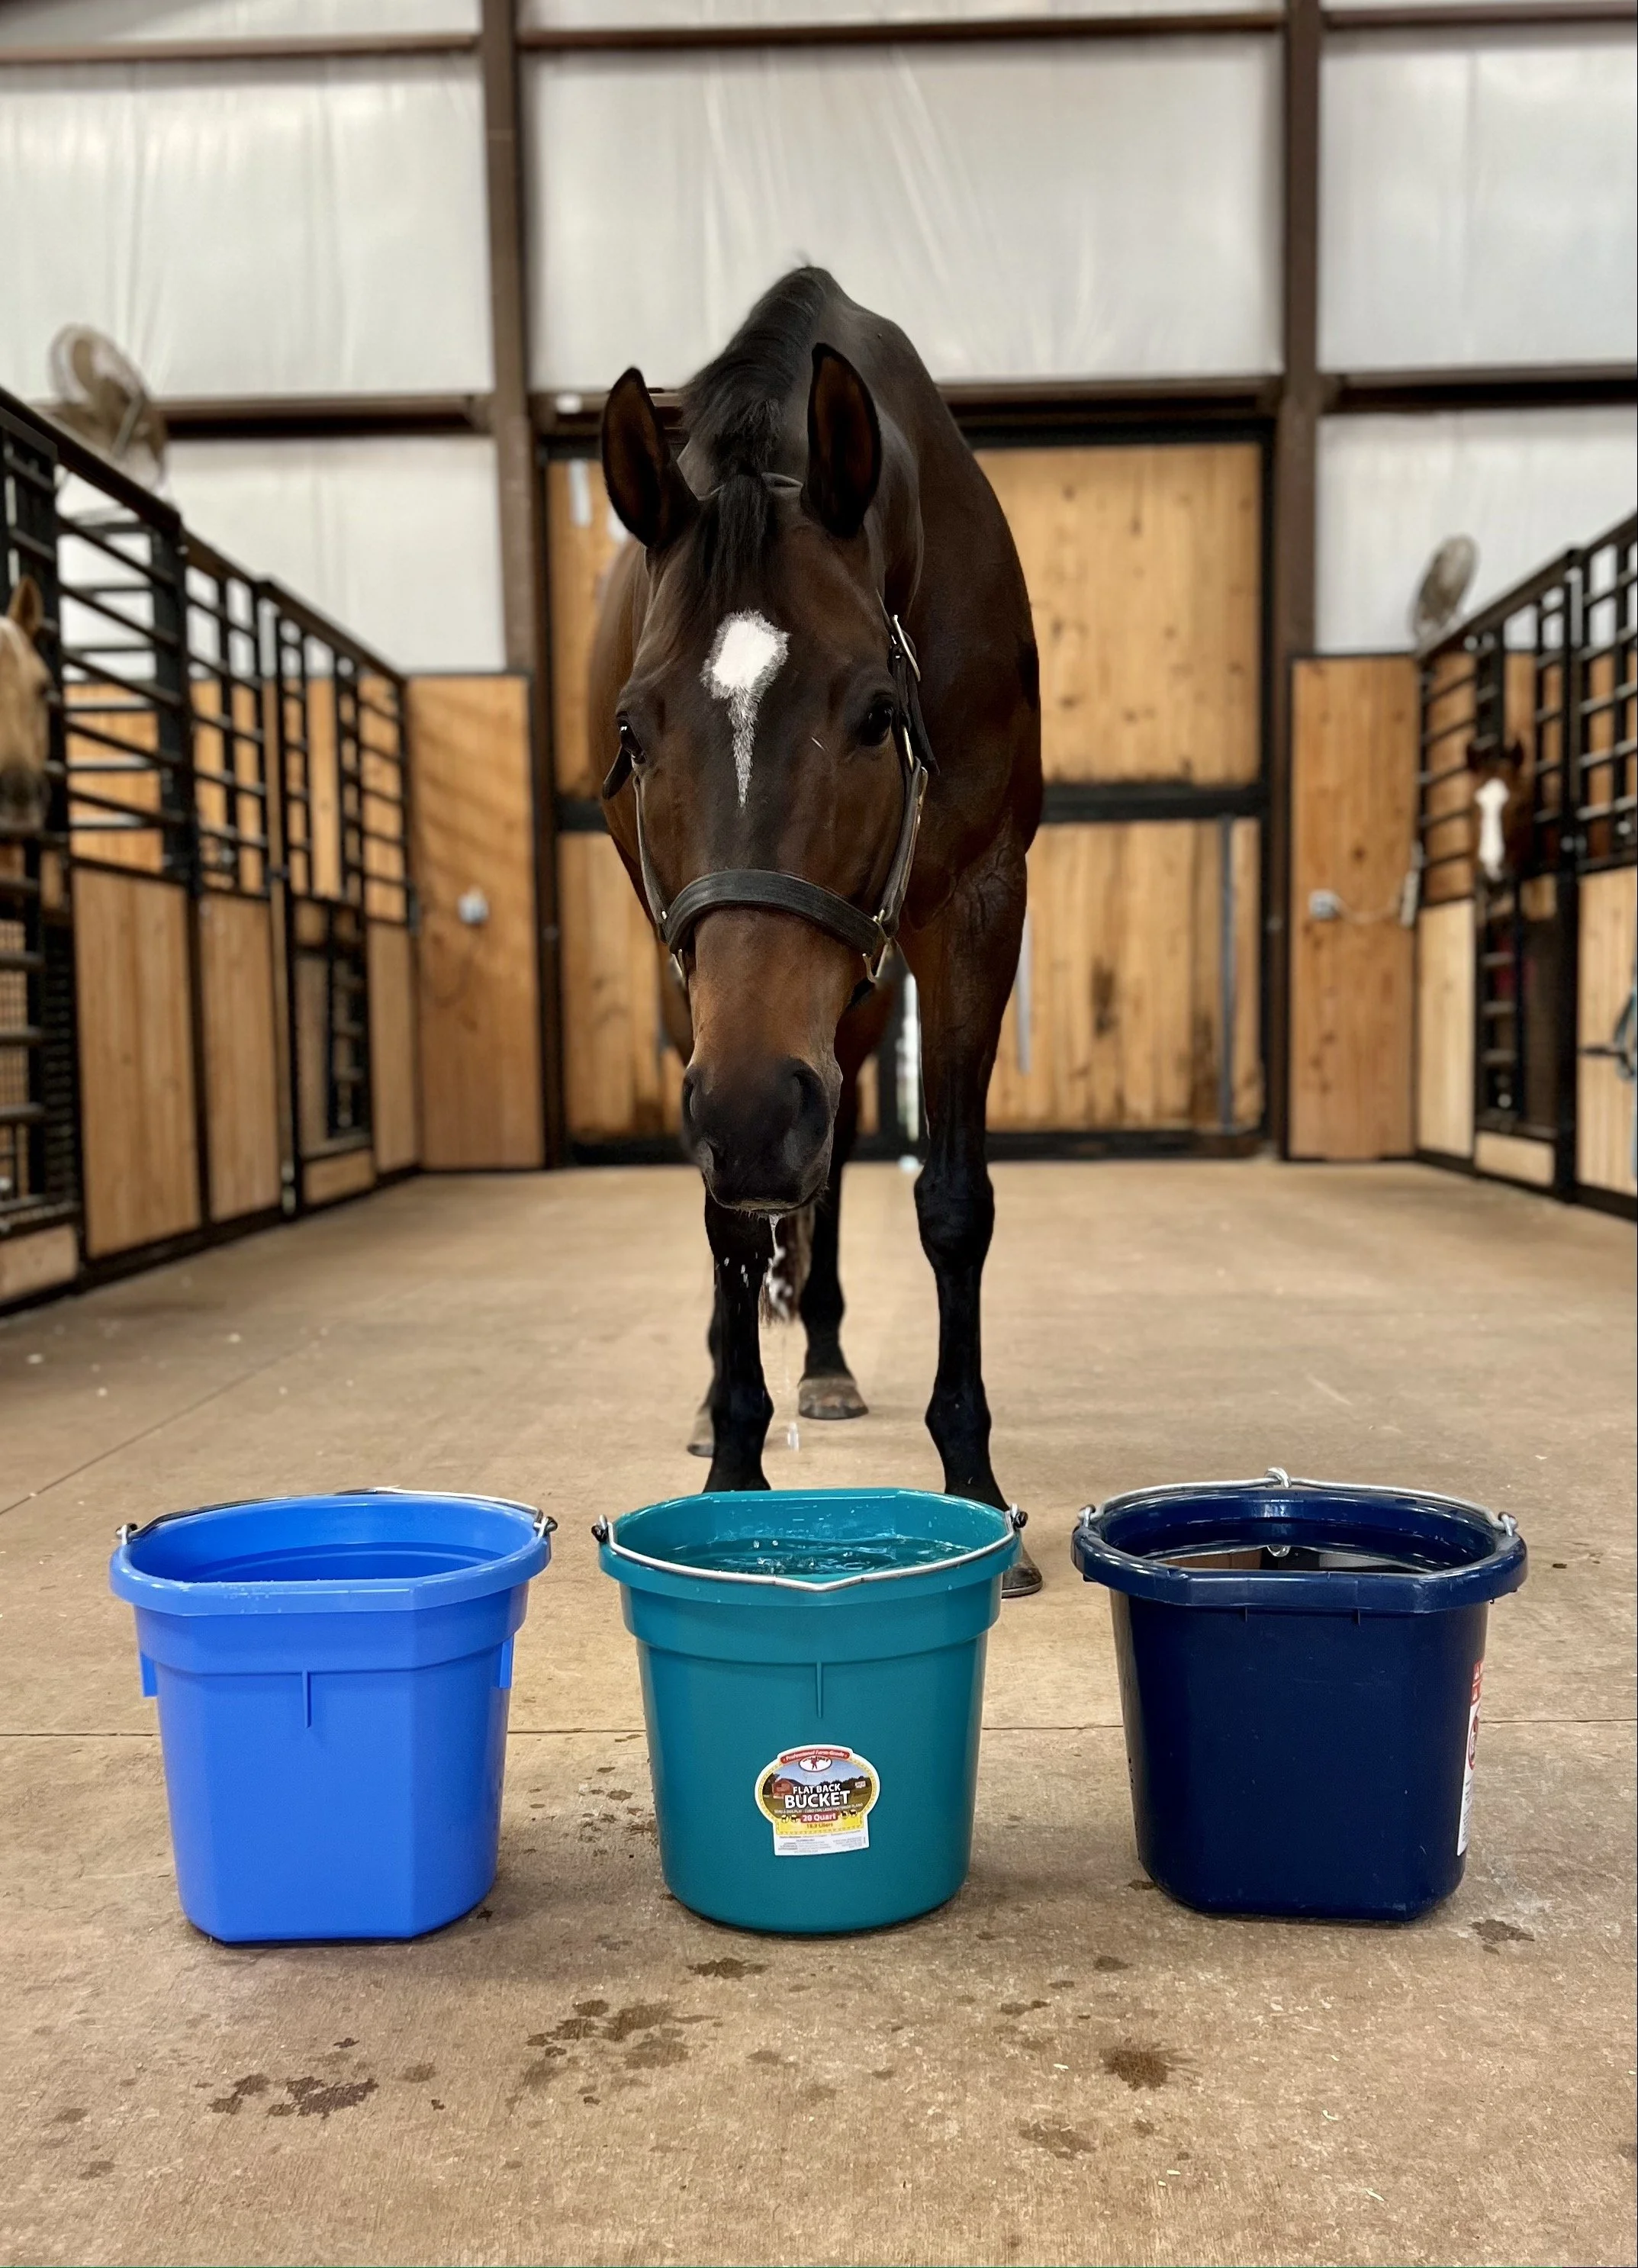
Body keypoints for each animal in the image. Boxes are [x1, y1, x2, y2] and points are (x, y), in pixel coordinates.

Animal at [587, 268, 1043, 1596]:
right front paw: (734, 1464)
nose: (747, 1116)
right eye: (632, 730)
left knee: (832, 1138)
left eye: (878, 712)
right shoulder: (683, 952)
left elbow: (950, 1202)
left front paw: (976, 1488)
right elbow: (726, 1217)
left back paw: (829, 1361)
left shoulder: (976, 905)